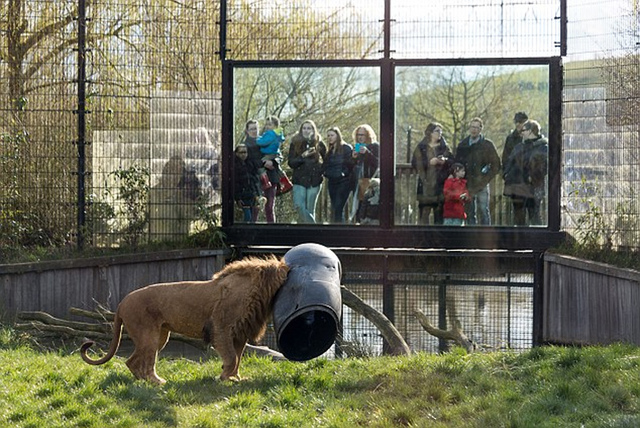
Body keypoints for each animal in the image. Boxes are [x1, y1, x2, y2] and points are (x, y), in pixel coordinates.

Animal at [79, 254, 288, 384]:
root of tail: (122, 303)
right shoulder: (221, 327)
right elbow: (231, 357)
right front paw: (223, 378)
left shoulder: (240, 333)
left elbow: (237, 358)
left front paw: (235, 379)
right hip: (149, 335)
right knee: (144, 362)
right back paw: (156, 382)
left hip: (160, 336)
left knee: (132, 361)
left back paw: (144, 381)